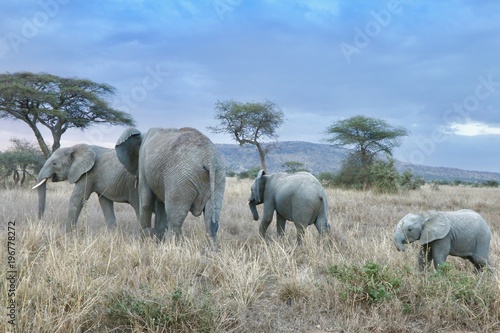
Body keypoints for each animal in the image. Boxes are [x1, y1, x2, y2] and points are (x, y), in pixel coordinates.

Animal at [33, 143, 166, 231]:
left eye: (54, 163)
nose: (40, 221)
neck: (74, 147)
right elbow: (105, 202)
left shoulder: (88, 174)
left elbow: (77, 199)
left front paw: (67, 236)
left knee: (139, 208)